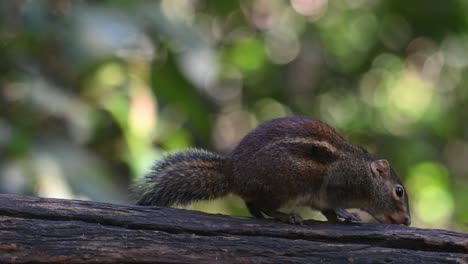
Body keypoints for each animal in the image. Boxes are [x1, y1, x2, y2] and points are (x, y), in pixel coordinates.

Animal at [134, 116, 410, 226]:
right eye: (398, 191)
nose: (408, 221)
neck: (363, 174)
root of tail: (233, 172)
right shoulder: (335, 186)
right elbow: (333, 207)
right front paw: (349, 214)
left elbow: (328, 212)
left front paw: (345, 216)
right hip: (283, 187)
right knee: (260, 206)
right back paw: (285, 217)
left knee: (253, 208)